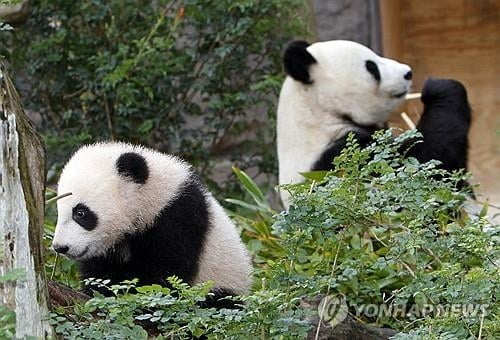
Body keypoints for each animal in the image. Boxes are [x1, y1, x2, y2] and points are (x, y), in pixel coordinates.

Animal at [52, 142, 252, 304]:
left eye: (80, 213)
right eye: (59, 211)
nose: (60, 247)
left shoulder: (178, 219)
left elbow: (166, 275)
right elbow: (101, 274)